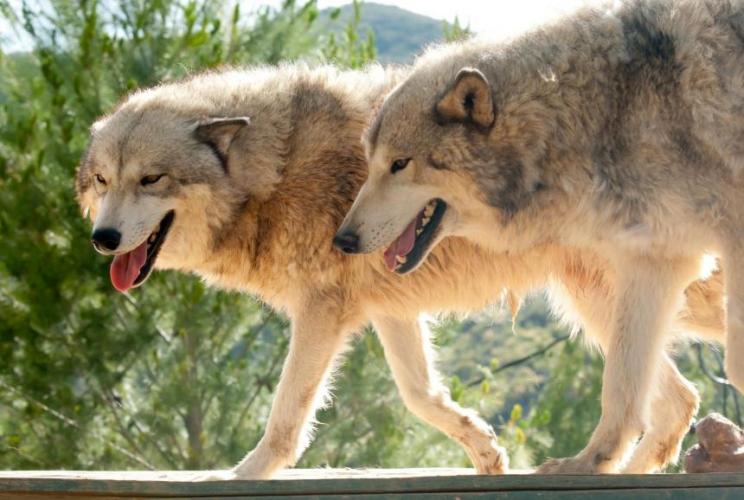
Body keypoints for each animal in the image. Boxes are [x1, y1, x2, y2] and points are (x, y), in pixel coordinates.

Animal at [76, 64, 724, 479]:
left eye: (151, 179)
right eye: (103, 180)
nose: (102, 239)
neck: (275, 170)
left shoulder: (322, 310)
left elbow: (286, 418)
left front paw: (244, 476)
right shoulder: (388, 306)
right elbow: (422, 396)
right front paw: (485, 450)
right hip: (601, 303)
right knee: (678, 399)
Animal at [337, 0, 744, 474]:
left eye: (400, 164)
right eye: (371, 163)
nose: (343, 240)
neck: (602, 110)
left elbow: (733, 365)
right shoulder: (656, 257)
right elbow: (620, 386)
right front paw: (589, 463)